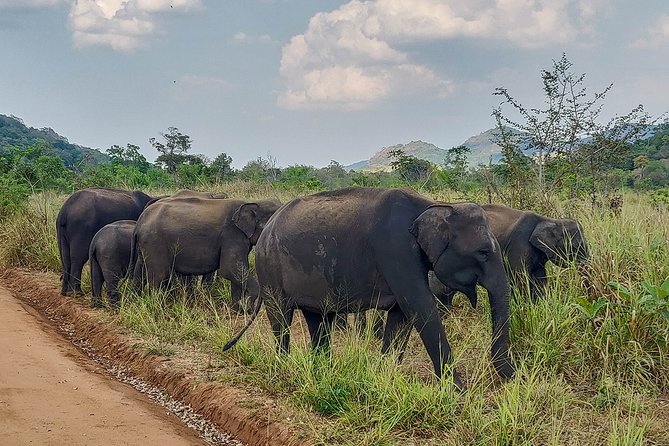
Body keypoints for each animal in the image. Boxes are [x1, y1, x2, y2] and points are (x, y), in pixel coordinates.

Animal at [130, 195, 281, 310]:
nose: (248, 309)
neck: (253, 202)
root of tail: (140, 221)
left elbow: (236, 273)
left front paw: (238, 311)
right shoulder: (232, 235)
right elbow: (229, 269)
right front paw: (247, 309)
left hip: (145, 245)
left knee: (140, 272)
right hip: (154, 242)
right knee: (159, 276)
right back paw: (158, 309)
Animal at [222, 187, 514, 386]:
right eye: (483, 253)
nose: (513, 377)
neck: (435, 205)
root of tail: (266, 231)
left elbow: (401, 316)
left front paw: (386, 376)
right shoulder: (396, 251)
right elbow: (420, 307)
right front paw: (458, 391)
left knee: (318, 319)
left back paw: (324, 370)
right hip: (270, 267)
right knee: (281, 318)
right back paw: (285, 366)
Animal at [430, 204, 589, 305]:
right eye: (576, 247)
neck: (550, 220)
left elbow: (540, 280)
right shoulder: (519, 245)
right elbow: (520, 278)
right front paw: (525, 307)